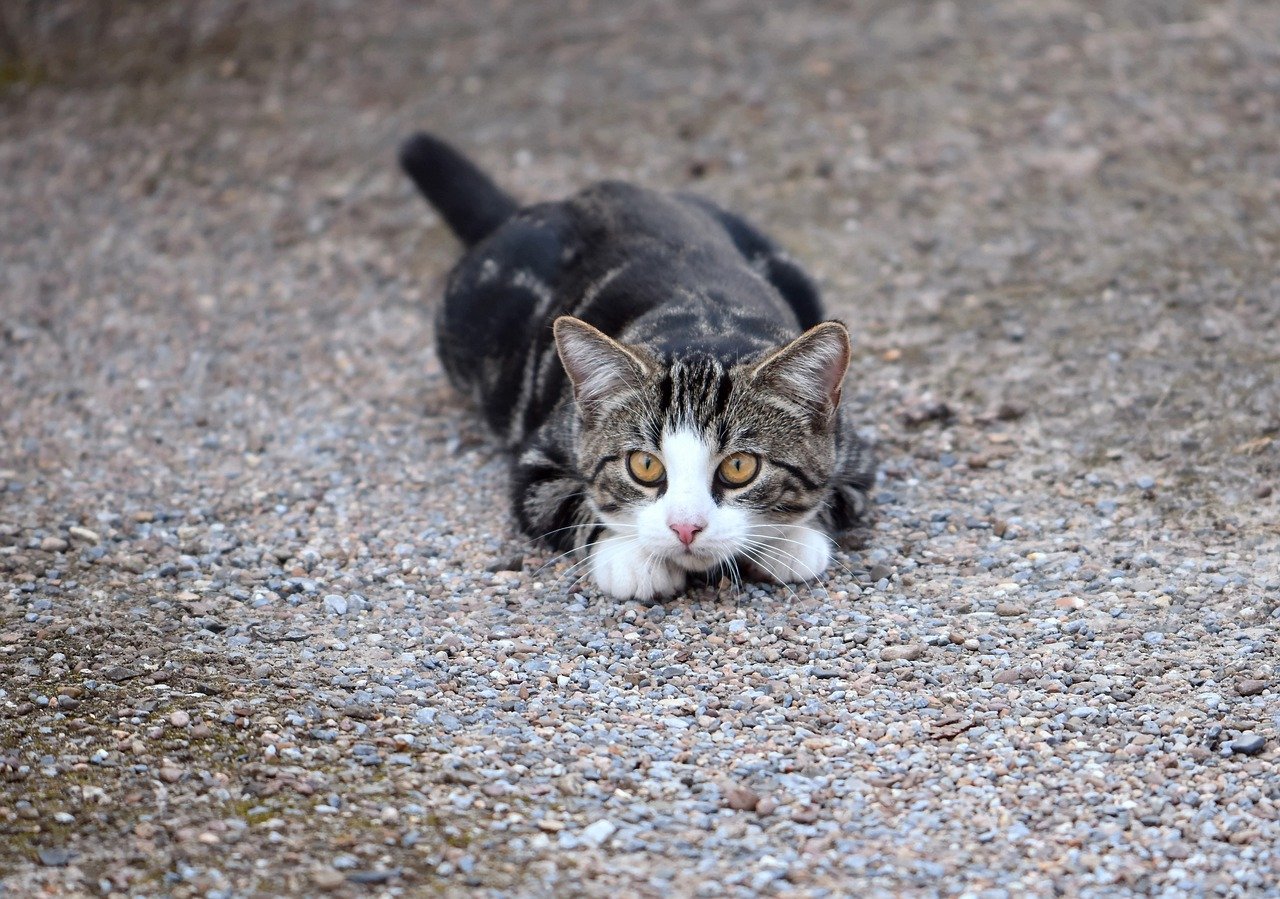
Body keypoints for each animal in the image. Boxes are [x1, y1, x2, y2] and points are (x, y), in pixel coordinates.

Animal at [401, 131, 870, 599]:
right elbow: (567, 504)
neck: (704, 326)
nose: (685, 528)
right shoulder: (542, 456)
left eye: (739, 468)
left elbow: (836, 499)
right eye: (644, 466)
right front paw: (629, 557)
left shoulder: (854, 449)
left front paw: (793, 541)